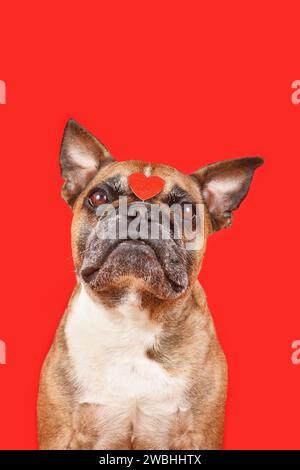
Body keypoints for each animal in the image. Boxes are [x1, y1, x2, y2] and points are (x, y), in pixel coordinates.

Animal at [37, 119, 262, 450]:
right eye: (98, 198)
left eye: (185, 210)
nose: (141, 212)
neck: (133, 316)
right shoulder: (63, 433)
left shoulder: (199, 436)